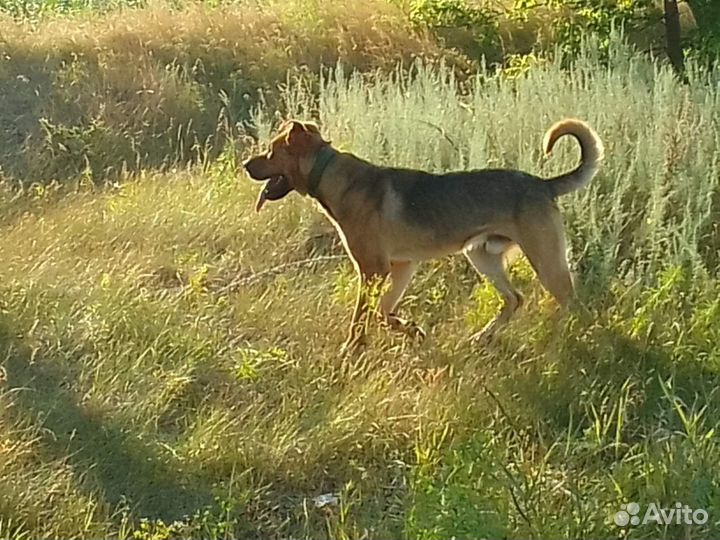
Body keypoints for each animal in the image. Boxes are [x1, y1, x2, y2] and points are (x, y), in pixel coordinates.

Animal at [245, 118, 604, 350]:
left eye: (271, 151)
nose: (246, 165)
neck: (329, 173)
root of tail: (543, 184)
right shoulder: (401, 266)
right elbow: (383, 312)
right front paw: (411, 330)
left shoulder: (373, 270)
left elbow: (362, 317)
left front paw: (352, 350)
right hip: (481, 256)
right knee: (515, 299)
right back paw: (483, 337)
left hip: (546, 263)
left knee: (575, 305)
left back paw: (579, 343)